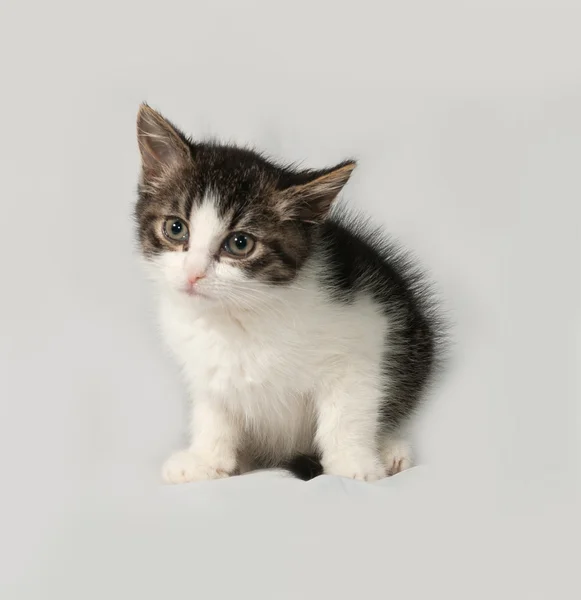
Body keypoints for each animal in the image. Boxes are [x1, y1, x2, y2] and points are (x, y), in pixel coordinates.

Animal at [135, 105, 444, 482]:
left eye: (240, 243)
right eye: (175, 228)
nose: (193, 274)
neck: (240, 314)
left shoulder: (368, 329)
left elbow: (348, 409)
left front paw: (353, 464)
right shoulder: (202, 361)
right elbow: (213, 409)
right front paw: (207, 459)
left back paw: (390, 451)